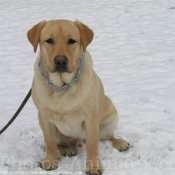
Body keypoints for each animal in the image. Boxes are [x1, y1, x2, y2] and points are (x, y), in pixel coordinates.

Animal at [27, 19, 130, 174]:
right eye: (49, 40)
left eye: (71, 41)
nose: (60, 60)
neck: (62, 86)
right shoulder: (44, 117)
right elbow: (49, 142)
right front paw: (50, 161)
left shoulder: (90, 116)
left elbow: (93, 144)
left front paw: (94, 166)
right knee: (57, 143)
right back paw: (66, 150)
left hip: (110, 117)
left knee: (108, 137)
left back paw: (120, 142)